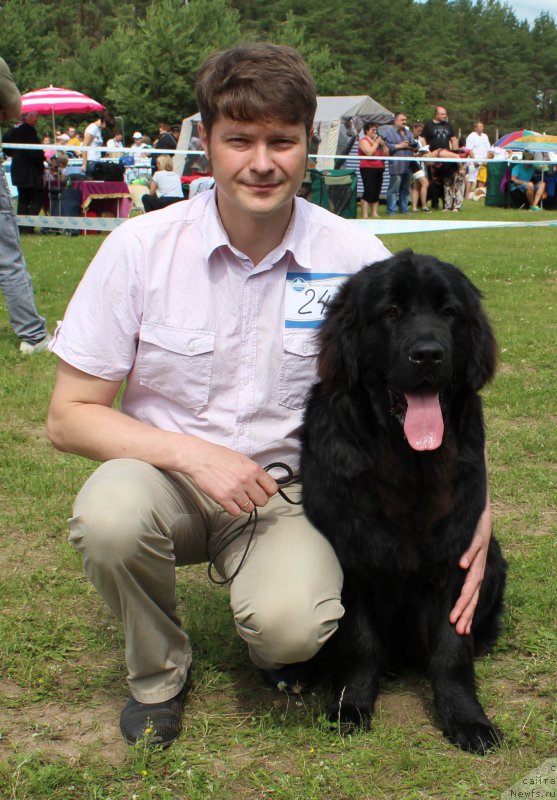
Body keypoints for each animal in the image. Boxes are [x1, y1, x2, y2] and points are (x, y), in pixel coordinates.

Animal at [302, 252, 506, 756]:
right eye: (391, 313)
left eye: (449, 313)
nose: (428, 354)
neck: (407, 461)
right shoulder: (351, 557)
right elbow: (359, 641)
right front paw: (351, 706)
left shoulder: (457, 557)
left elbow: (451, 651)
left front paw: (468, 719)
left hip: (492, 557)